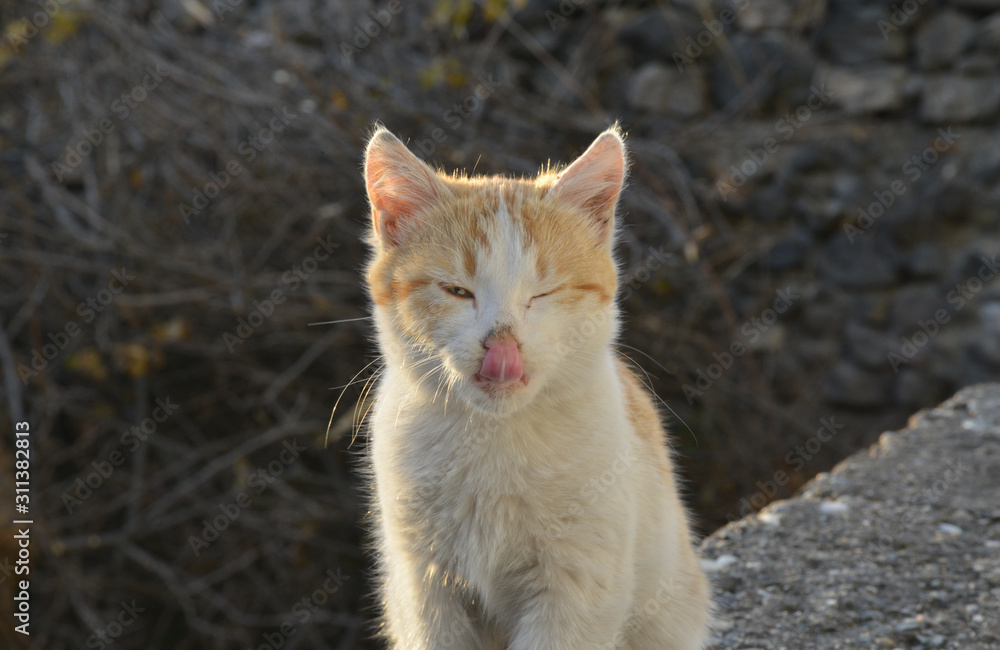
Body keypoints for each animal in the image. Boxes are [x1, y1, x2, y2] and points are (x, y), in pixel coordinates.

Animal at [364, 124, 708, 644]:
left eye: (543, 294)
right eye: (457, 291)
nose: (501, 347)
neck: (493, 443)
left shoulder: (579, 584)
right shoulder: (425, 585)